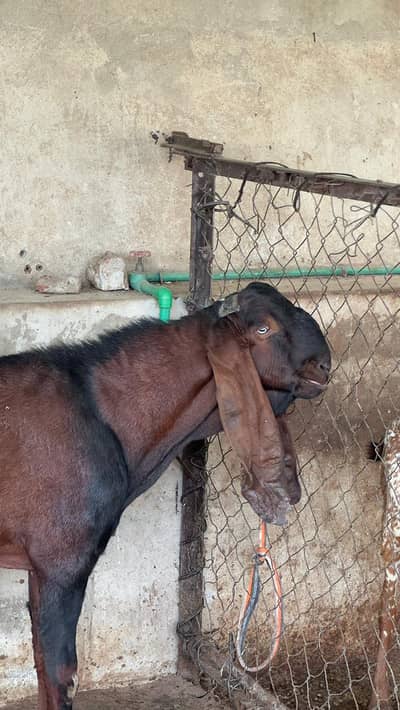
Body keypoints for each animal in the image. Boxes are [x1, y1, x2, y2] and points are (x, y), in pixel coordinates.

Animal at [0, 282, 331, 709]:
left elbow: (44, 665)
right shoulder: (61, 560)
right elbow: (60, 674)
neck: (101, 412)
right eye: (263, 328)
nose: (324, 366)